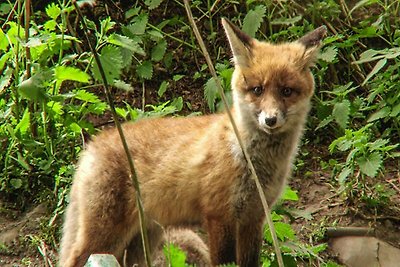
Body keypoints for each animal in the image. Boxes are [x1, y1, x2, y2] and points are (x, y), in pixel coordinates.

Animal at [60, 17, 328, 266]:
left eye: (286, 91)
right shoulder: (219, 216)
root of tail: (93, 144)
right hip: (106, 234)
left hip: (142, 240)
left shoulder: (253, 218)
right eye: (258, 90)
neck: (250, 160)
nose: (270, 120)